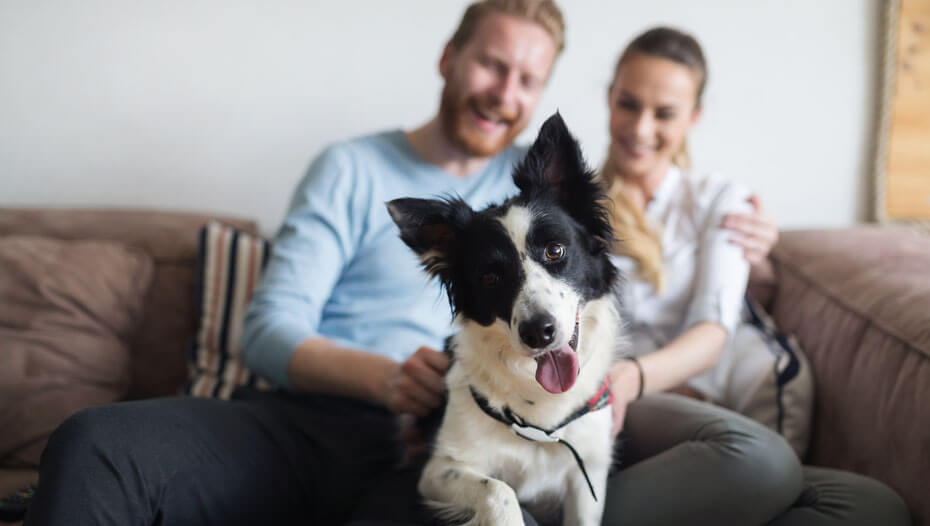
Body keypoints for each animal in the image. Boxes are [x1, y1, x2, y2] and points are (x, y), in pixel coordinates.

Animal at [386, 112, 624, 526]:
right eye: (490, 278)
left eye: (555, 250)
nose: (538, 332)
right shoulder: (439, 469)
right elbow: (499, 490)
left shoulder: (587, 477)